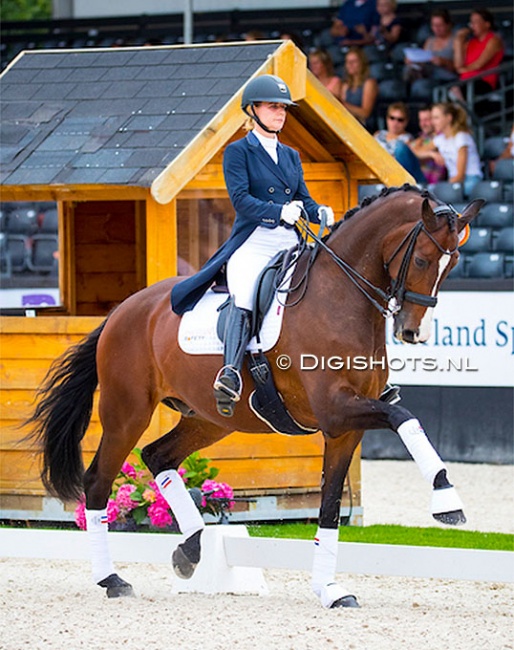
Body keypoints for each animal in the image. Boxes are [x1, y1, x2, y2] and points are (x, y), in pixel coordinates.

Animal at [25, 184, 480, 608]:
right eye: (421, 260)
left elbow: (331, 506)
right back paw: (112, 579)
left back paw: (191, 548)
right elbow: (404, 417)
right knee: (98, 482)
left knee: (158, 455)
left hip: (209, 419)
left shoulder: (343, 430)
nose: (413, 332)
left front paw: (329, 590)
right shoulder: (335, 411)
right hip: (127, 412)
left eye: (453, 263)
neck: (341, 299)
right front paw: (447, 500)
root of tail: (121, 312)